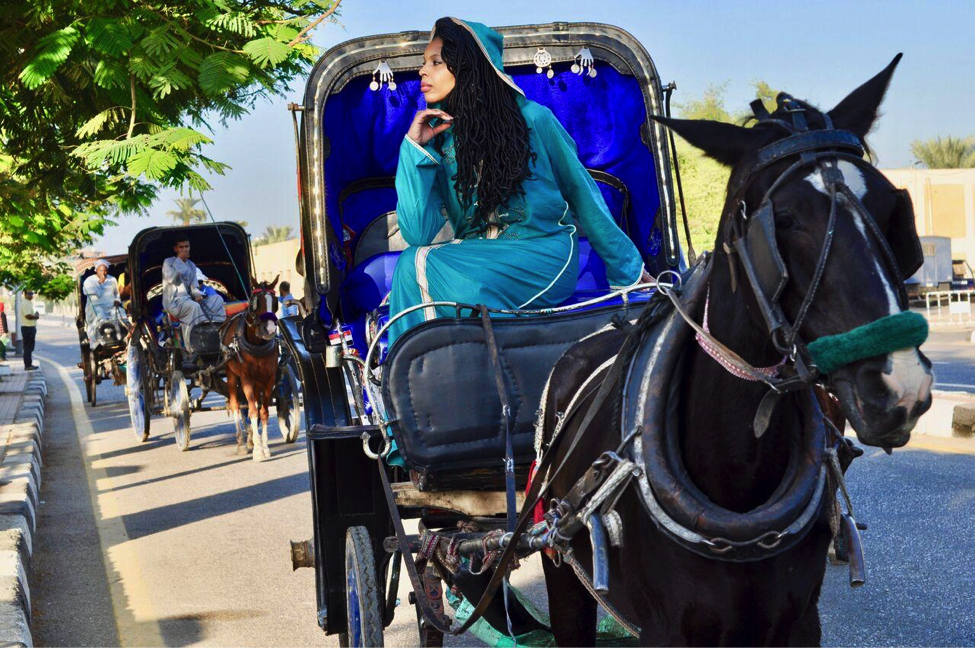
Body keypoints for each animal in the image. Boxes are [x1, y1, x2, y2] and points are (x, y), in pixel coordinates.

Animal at [224, 276, 280, 458]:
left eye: (274, 302)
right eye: (256, 302)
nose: (269, 330)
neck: (257, 345)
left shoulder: (269, 379)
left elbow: (263, 412)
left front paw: (264, 446)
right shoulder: (246, 379)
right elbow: (253, 411)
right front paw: (257, 451)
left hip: (258, 382)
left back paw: (250, 439)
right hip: (232, 375)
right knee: (235, 405)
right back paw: (241, 442)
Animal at [540, 55, 932, 648]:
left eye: (891, 209)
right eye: (784, 219)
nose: (900, 385)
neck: (739, 477)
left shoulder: (799, 620)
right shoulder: (665, 630)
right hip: (563, 571)